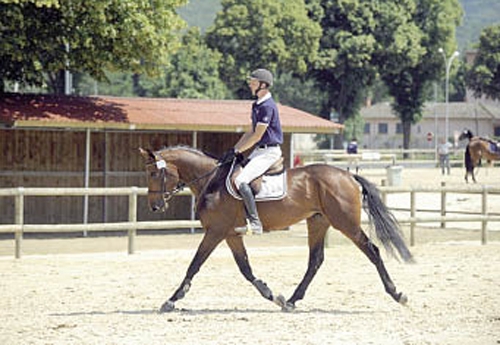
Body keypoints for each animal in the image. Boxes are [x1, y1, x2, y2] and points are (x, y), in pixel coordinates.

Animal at [139, 145, 412, 312]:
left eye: (153, 174)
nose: (154, 206)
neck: (211, 180)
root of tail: (348, 175)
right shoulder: (230, 234)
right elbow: (245, 269)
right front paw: (271, 294)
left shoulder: (215, 232)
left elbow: (194, 264)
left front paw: (172, 300)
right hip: (318, 222)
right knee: (315, 261)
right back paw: (291, 301)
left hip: (346, 223)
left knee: (372, 251)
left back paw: (398, 294)